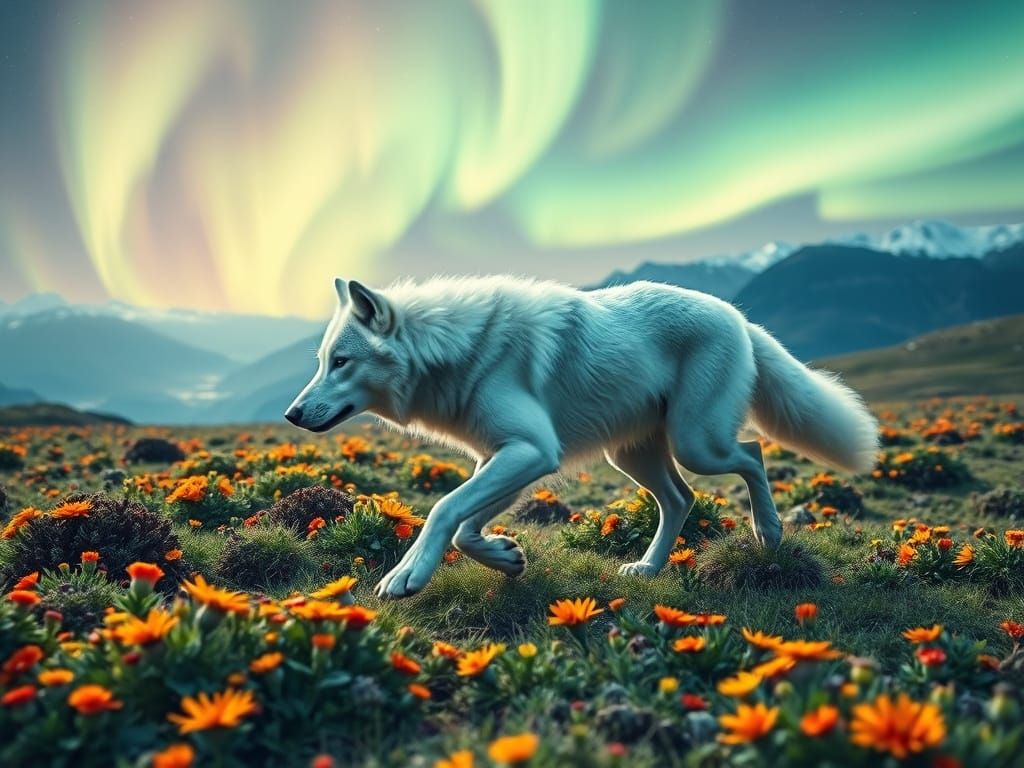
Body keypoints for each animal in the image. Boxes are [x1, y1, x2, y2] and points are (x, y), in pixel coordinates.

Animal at [286, 275, 878, 599]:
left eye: (341, 362)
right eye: (321, 361)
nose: (291, 414)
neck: (453, 349)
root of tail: (739, 317)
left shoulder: (529, 451)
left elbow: (442, 510)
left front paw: (407, 576)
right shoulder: (507, 457)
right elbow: (462, 526)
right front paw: (505, 557)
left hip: (697, 443)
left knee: (752, 455)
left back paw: (768, 531)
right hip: (631, 457)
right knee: (682, 499)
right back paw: (648, 568)